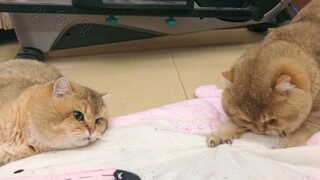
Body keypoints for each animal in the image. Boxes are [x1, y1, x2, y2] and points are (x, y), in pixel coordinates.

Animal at [206, 0, 320, 148]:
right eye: (247, 120)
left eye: (272, 120)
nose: (261, 131)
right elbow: (234, 123)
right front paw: (221, 133)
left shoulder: (316, 114)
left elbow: (303, 128)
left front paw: (286, 145)